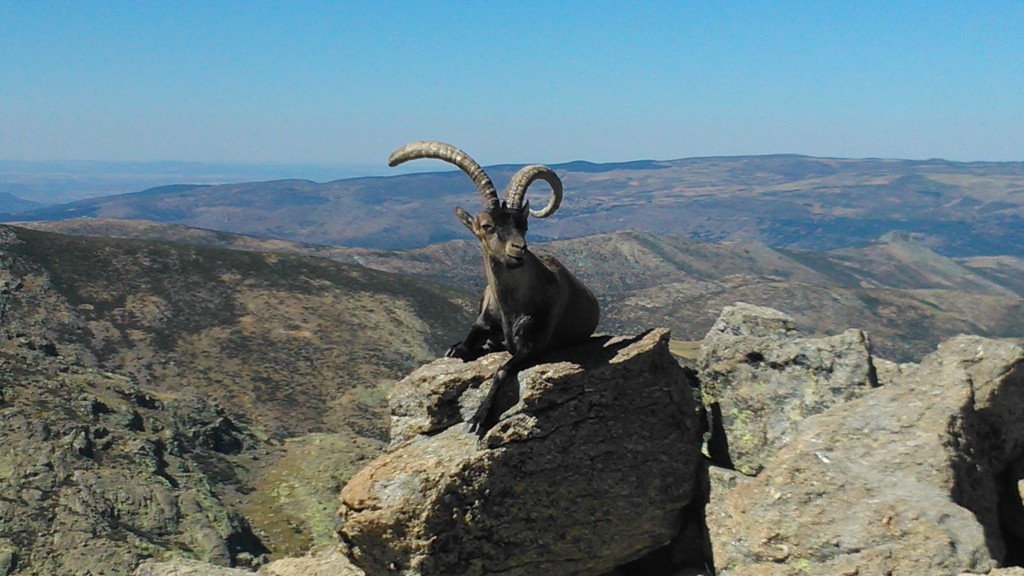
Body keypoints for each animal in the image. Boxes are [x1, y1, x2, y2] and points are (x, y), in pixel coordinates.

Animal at [389, 141, 598, 432]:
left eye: (523, 224)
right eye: (487, 226)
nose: (518, 249)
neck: (512, 305)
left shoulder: (533, 345)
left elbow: (501, 371)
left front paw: (477, 419)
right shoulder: (483, 321)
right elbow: (463, 348)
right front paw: (460, 348)